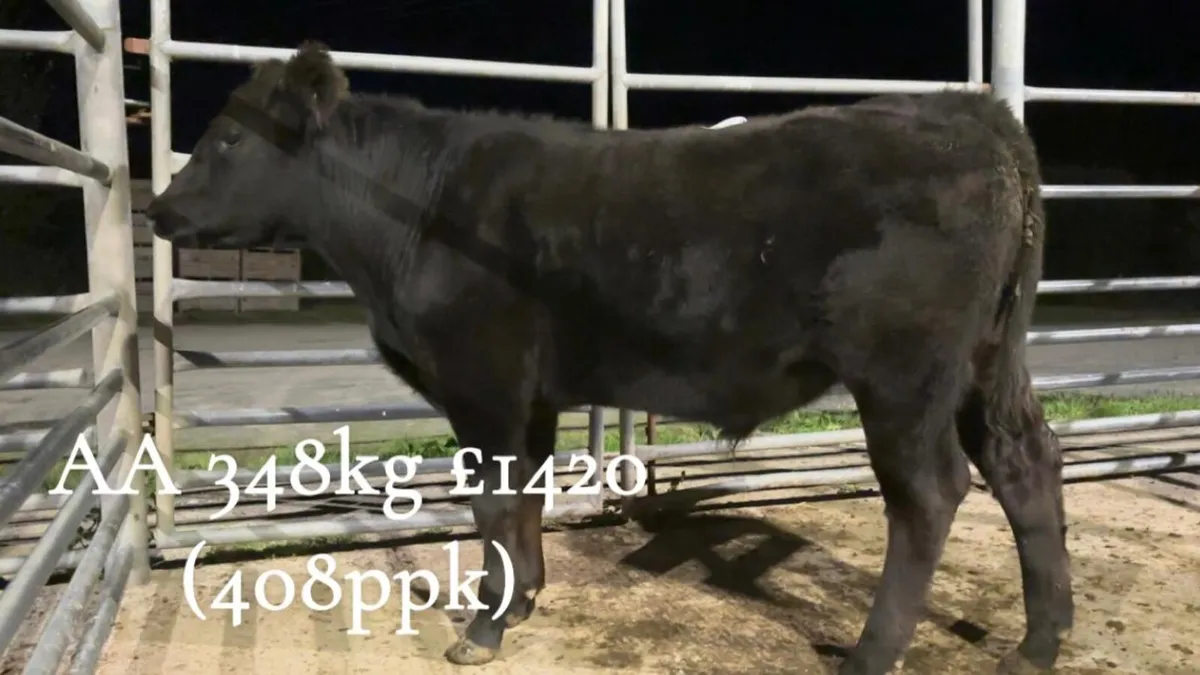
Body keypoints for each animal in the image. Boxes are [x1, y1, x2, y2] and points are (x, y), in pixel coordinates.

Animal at [145, 41, 1074, 675]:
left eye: (228, 142)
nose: (157, 208)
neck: (412, 213)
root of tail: (967, 111)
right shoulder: (531, 394)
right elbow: (524, 499)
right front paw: (522, 600)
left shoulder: (481, 381)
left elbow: (493, 503)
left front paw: (482, 626)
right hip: (989, 360)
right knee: (1024, 461)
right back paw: (1040, 639)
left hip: (902, 375)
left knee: (930, 493)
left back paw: (872, 651)